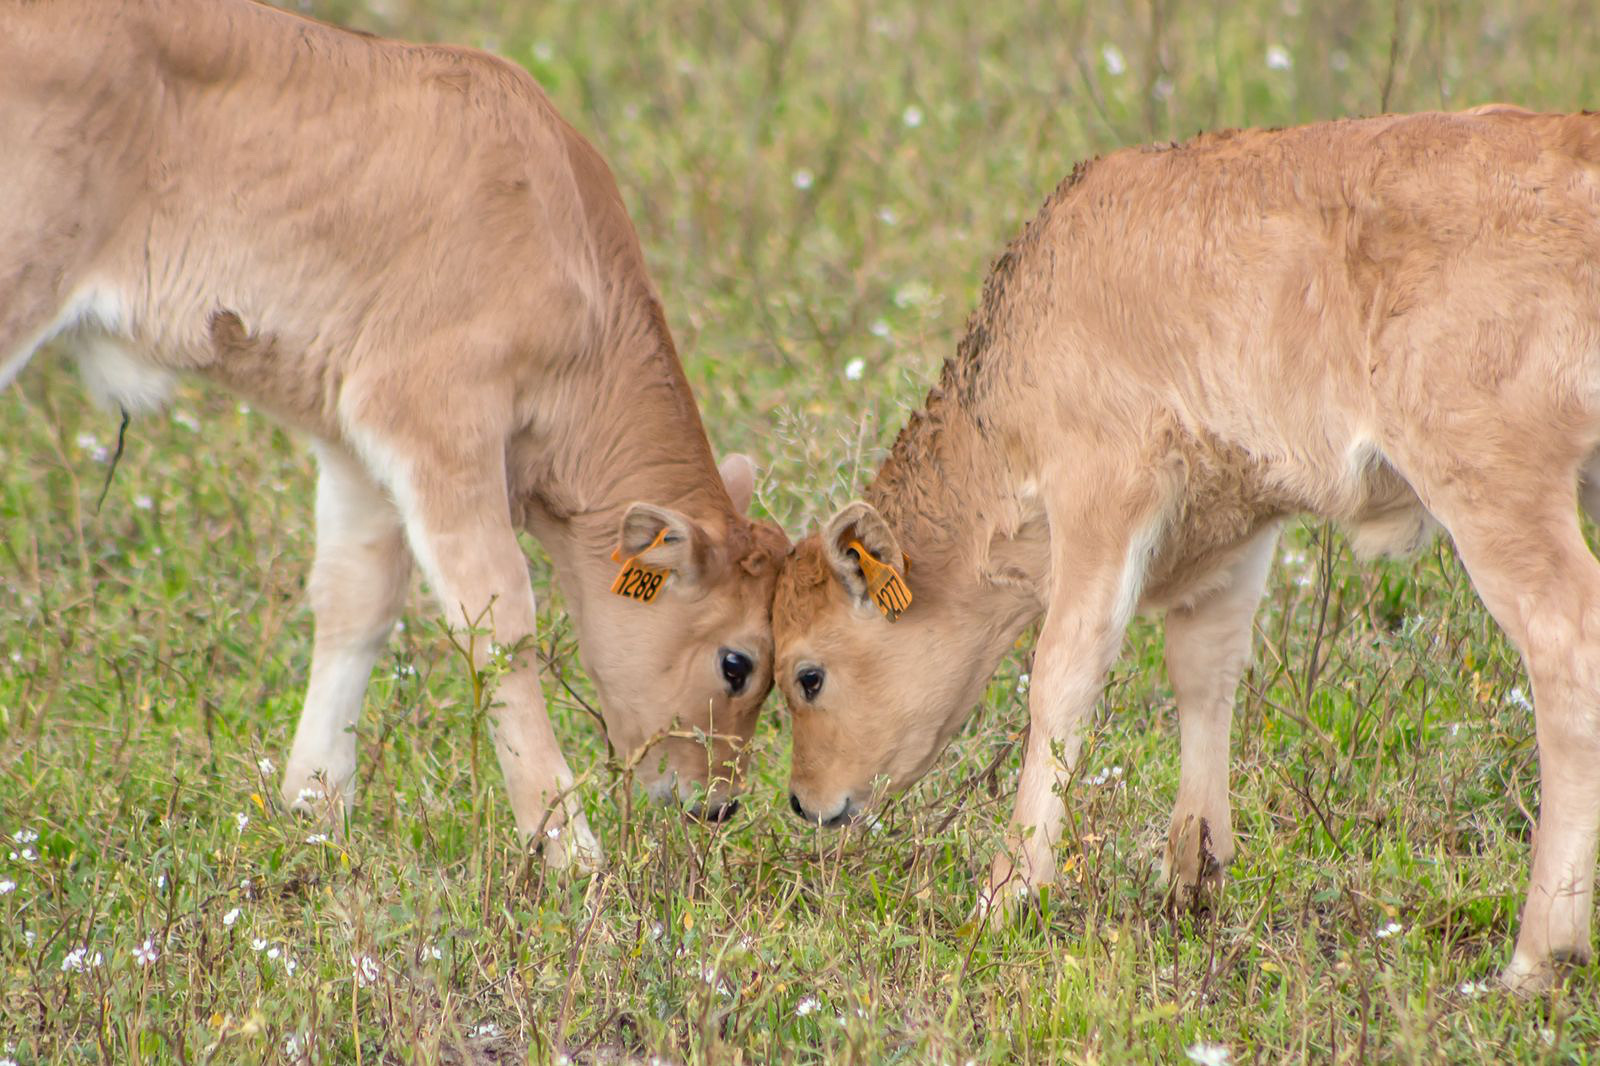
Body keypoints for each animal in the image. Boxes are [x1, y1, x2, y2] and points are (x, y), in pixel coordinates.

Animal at [3, 0, 790, 864]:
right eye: (737, 663)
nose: (719, 804)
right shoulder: (439, 415)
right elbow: (498, 616)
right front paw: (568, 847)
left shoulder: (355, 438)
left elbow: (356, 598)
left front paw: (315, 806)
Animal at [771, 108, 1600, 985]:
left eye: (808, 675)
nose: (804, 802)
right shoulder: (1234, 530)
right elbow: (1205, 674)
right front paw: (1191, 881)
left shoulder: (1102, 495)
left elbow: (1060, 679)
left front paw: (1003, 898)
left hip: (1495, 493)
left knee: (1566, 646)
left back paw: (1538, 956)